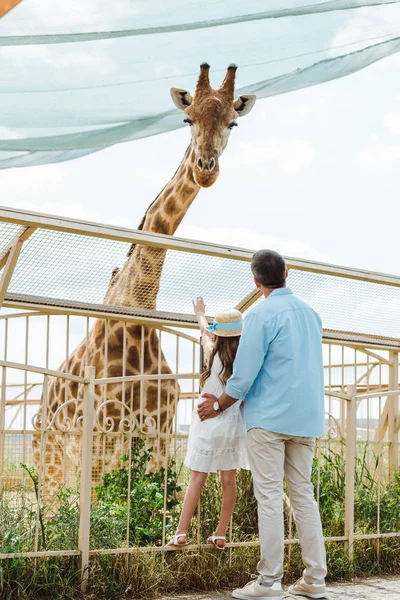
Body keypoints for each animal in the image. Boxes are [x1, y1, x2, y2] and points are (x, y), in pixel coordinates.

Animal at [32, 63, 256, 494]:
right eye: (188, 119)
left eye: (233, 123)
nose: (205, 169)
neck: (136, 311)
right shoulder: (101, 437)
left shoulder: (158, 437)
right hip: (48, 450)